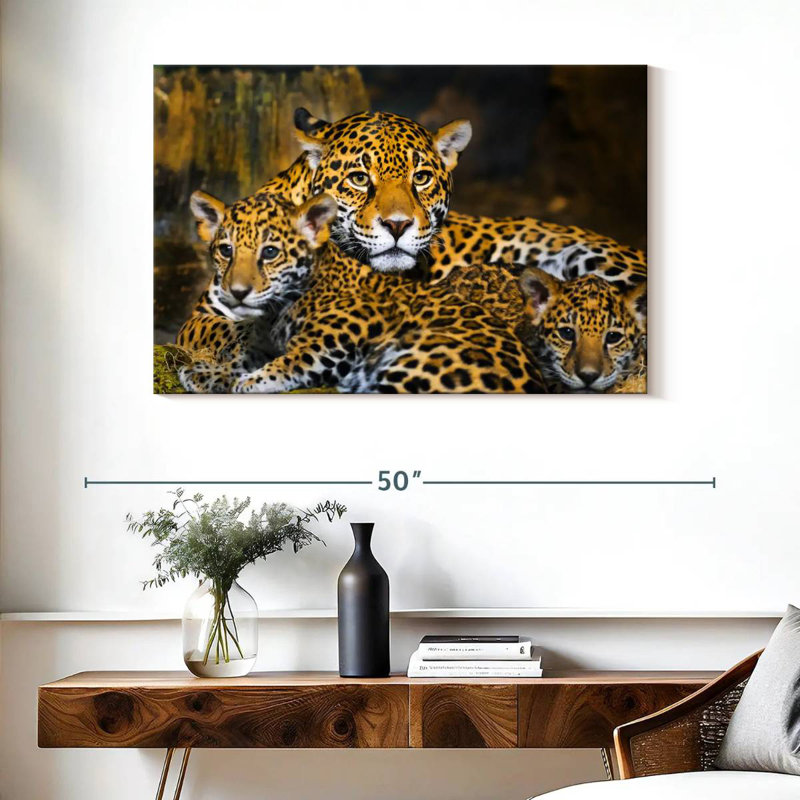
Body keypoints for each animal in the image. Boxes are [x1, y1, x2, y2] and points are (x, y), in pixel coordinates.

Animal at [179, 191, 546, 394]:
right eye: (226, 250)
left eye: (269, 253)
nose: (238, 292)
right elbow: (242, 356)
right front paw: (205, 374)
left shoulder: (338, 336)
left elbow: (293, 360)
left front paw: (252, 381)